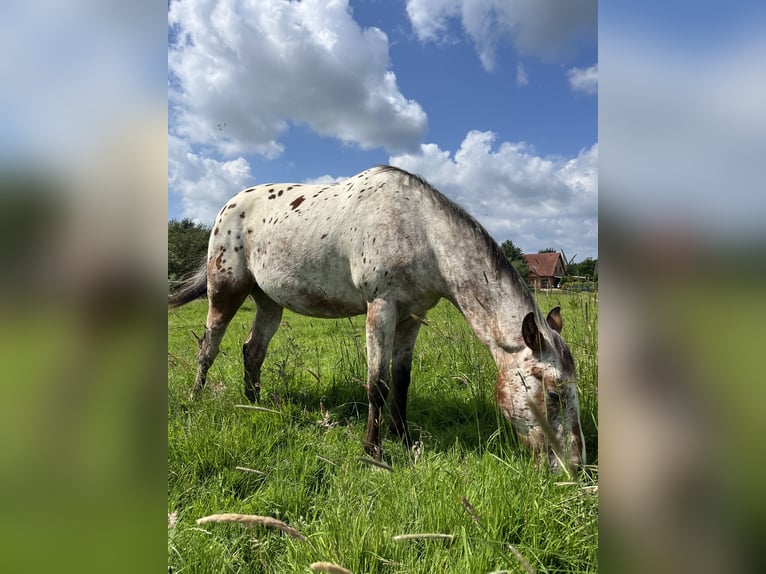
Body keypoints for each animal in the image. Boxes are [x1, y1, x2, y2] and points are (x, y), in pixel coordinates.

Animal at [170, 166, 588, 472]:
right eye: (553, 393)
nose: (575, 467)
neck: (423, 233)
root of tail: (228, 207)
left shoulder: (412, 316)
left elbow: (401, 382)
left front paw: (404, 439)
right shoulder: (381, 307)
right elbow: (378, 383)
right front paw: (374, 452)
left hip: (269, 302)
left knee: (252, 351)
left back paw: (255, 404)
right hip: (225, 291)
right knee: (209, 347)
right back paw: (195, 399)